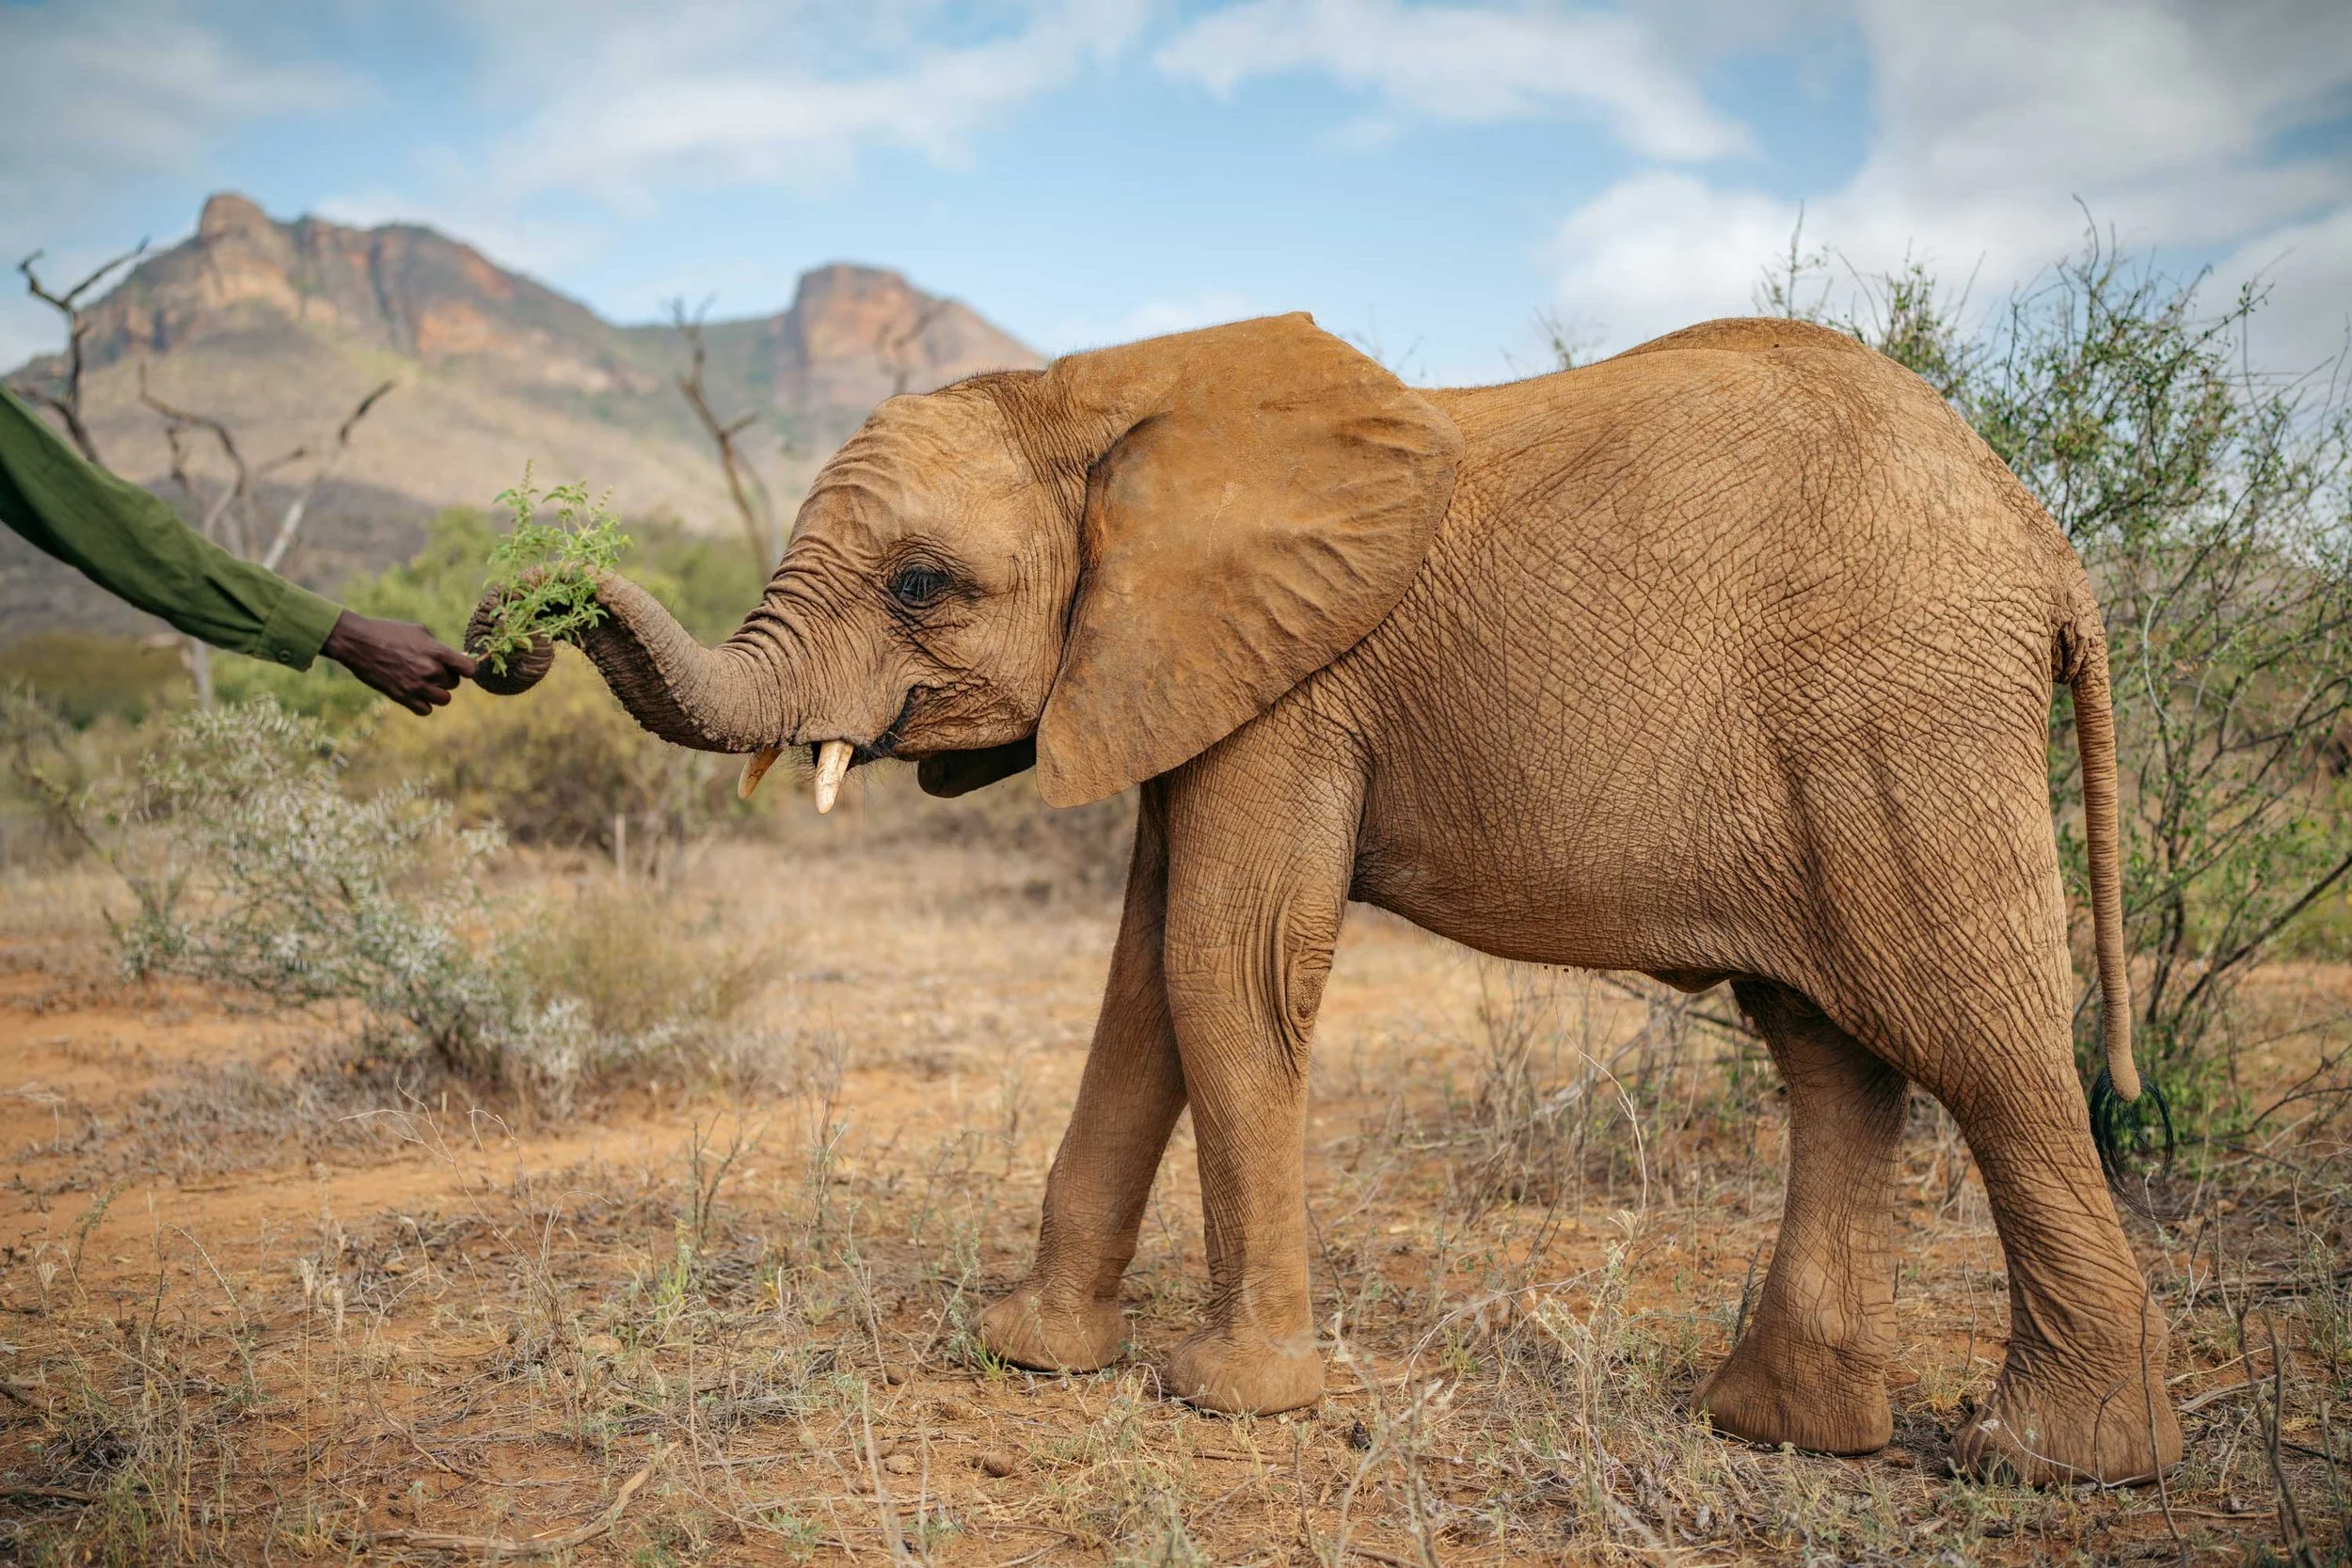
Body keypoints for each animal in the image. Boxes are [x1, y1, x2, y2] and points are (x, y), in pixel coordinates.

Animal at [467, 311, 2181, 1486]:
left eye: (923, 586)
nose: (510, 615)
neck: (1099, 387)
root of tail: (2046, 542)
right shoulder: (1181, 673)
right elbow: (1141, 986)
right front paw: (1035, 1352)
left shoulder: (1292, 688)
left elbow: (1220, 969)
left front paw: (1226, 1393)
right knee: (1833, 1053)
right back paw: (1780, 1429)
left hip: (1902, 725)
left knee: (1984, 1049)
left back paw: (2053, 1460)